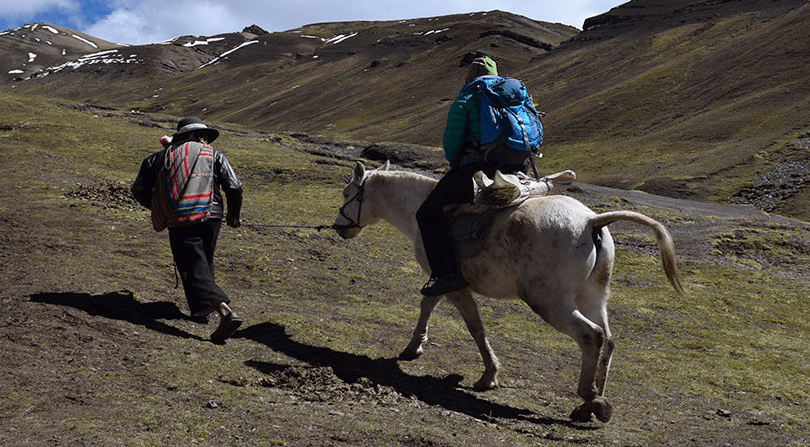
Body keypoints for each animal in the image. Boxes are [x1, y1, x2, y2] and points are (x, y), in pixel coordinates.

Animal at [332, 162, 680, 424]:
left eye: (348, 193)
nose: (338, 227)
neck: (419, 211)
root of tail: (592, 220)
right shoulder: (444, 281)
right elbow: (428, 304)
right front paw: (414, 347)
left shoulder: (452, 282)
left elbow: (472, 324)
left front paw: (488, 375)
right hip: (592, 296)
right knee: (607, 339)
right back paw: (591, 405)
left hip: (551, 303)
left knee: (591, 336)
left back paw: (589, 397)